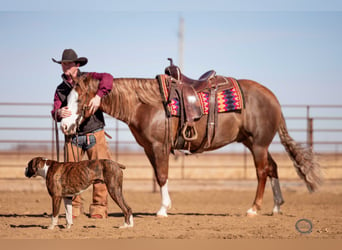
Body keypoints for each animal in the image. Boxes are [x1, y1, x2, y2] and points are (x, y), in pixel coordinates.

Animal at [60, 71, 322, 218]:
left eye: (79, 99)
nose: (64, 126)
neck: (145, 103)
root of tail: (273, 98)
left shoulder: (159, 146)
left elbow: (162, 176)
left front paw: (163, 209)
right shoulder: (149, 148)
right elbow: (158, 176)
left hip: (258, 145)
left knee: (262, 172)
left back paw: (254, 209)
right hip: (256, 144)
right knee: (273, 167)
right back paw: (276, 207)